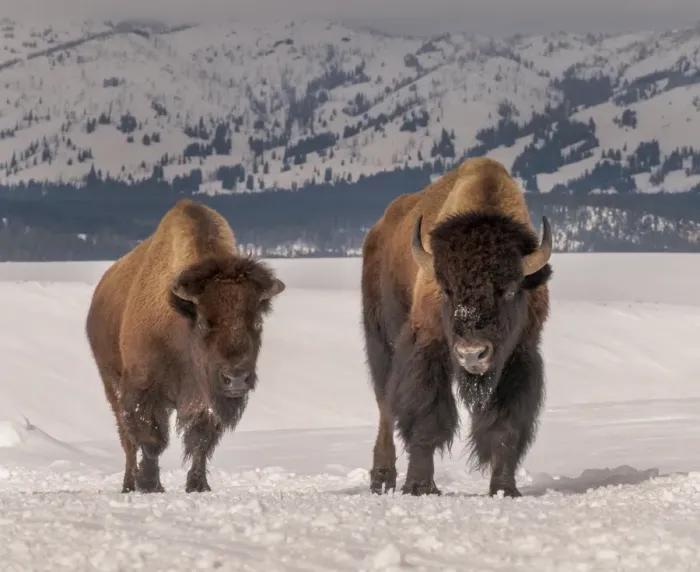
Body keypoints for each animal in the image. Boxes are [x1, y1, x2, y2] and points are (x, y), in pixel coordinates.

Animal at [86, 199, 285, 493]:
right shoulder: (145, 391)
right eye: (202, 321)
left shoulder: (204, 400)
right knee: (127, 439)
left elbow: (200, 440)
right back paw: (130, 484)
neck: (182, 317)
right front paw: (151, 485)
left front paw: (198, 485)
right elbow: (152, 440)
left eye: (258, 321)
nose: (236, 379)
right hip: (112, 384)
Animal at [361, 157, 553, 497]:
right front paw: (420, 487)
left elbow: (506, 427)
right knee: (385, 405)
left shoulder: (519, 355)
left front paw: (504, 489)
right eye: (446, 290)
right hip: (381, 341)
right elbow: (426, 416)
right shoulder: (427, 348)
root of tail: (377, 231)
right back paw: (382, 479)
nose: (472, 354)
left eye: (509, 290)